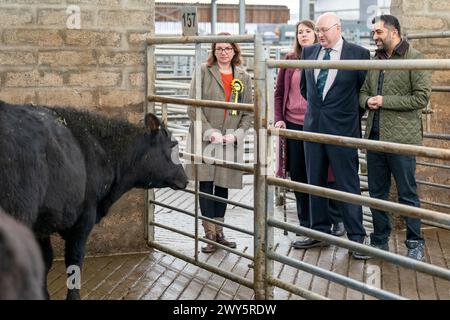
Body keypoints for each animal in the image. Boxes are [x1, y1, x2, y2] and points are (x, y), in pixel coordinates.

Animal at [0, 100, 186, 300]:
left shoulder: (43, 223)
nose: (185, 178)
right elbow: (74, 260)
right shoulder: (85, 216)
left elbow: (45, 260)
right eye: (173, 144)